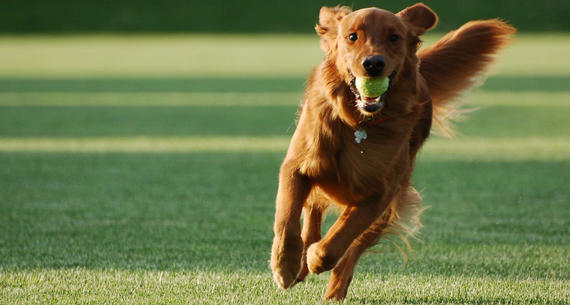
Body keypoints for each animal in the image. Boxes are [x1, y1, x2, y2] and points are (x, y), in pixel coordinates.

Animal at [268, 2, 512, 300]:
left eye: (394, 37)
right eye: (352, 36)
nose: (373, 63)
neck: (358, 122)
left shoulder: (380, 194)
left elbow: (337, 240)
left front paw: (315, 258)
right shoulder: (297, 167)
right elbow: (287, 222)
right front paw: (285, 266)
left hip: (390, 204)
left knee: (352, 250)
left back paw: (334, 288)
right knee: (312, 214)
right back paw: (301, 265)